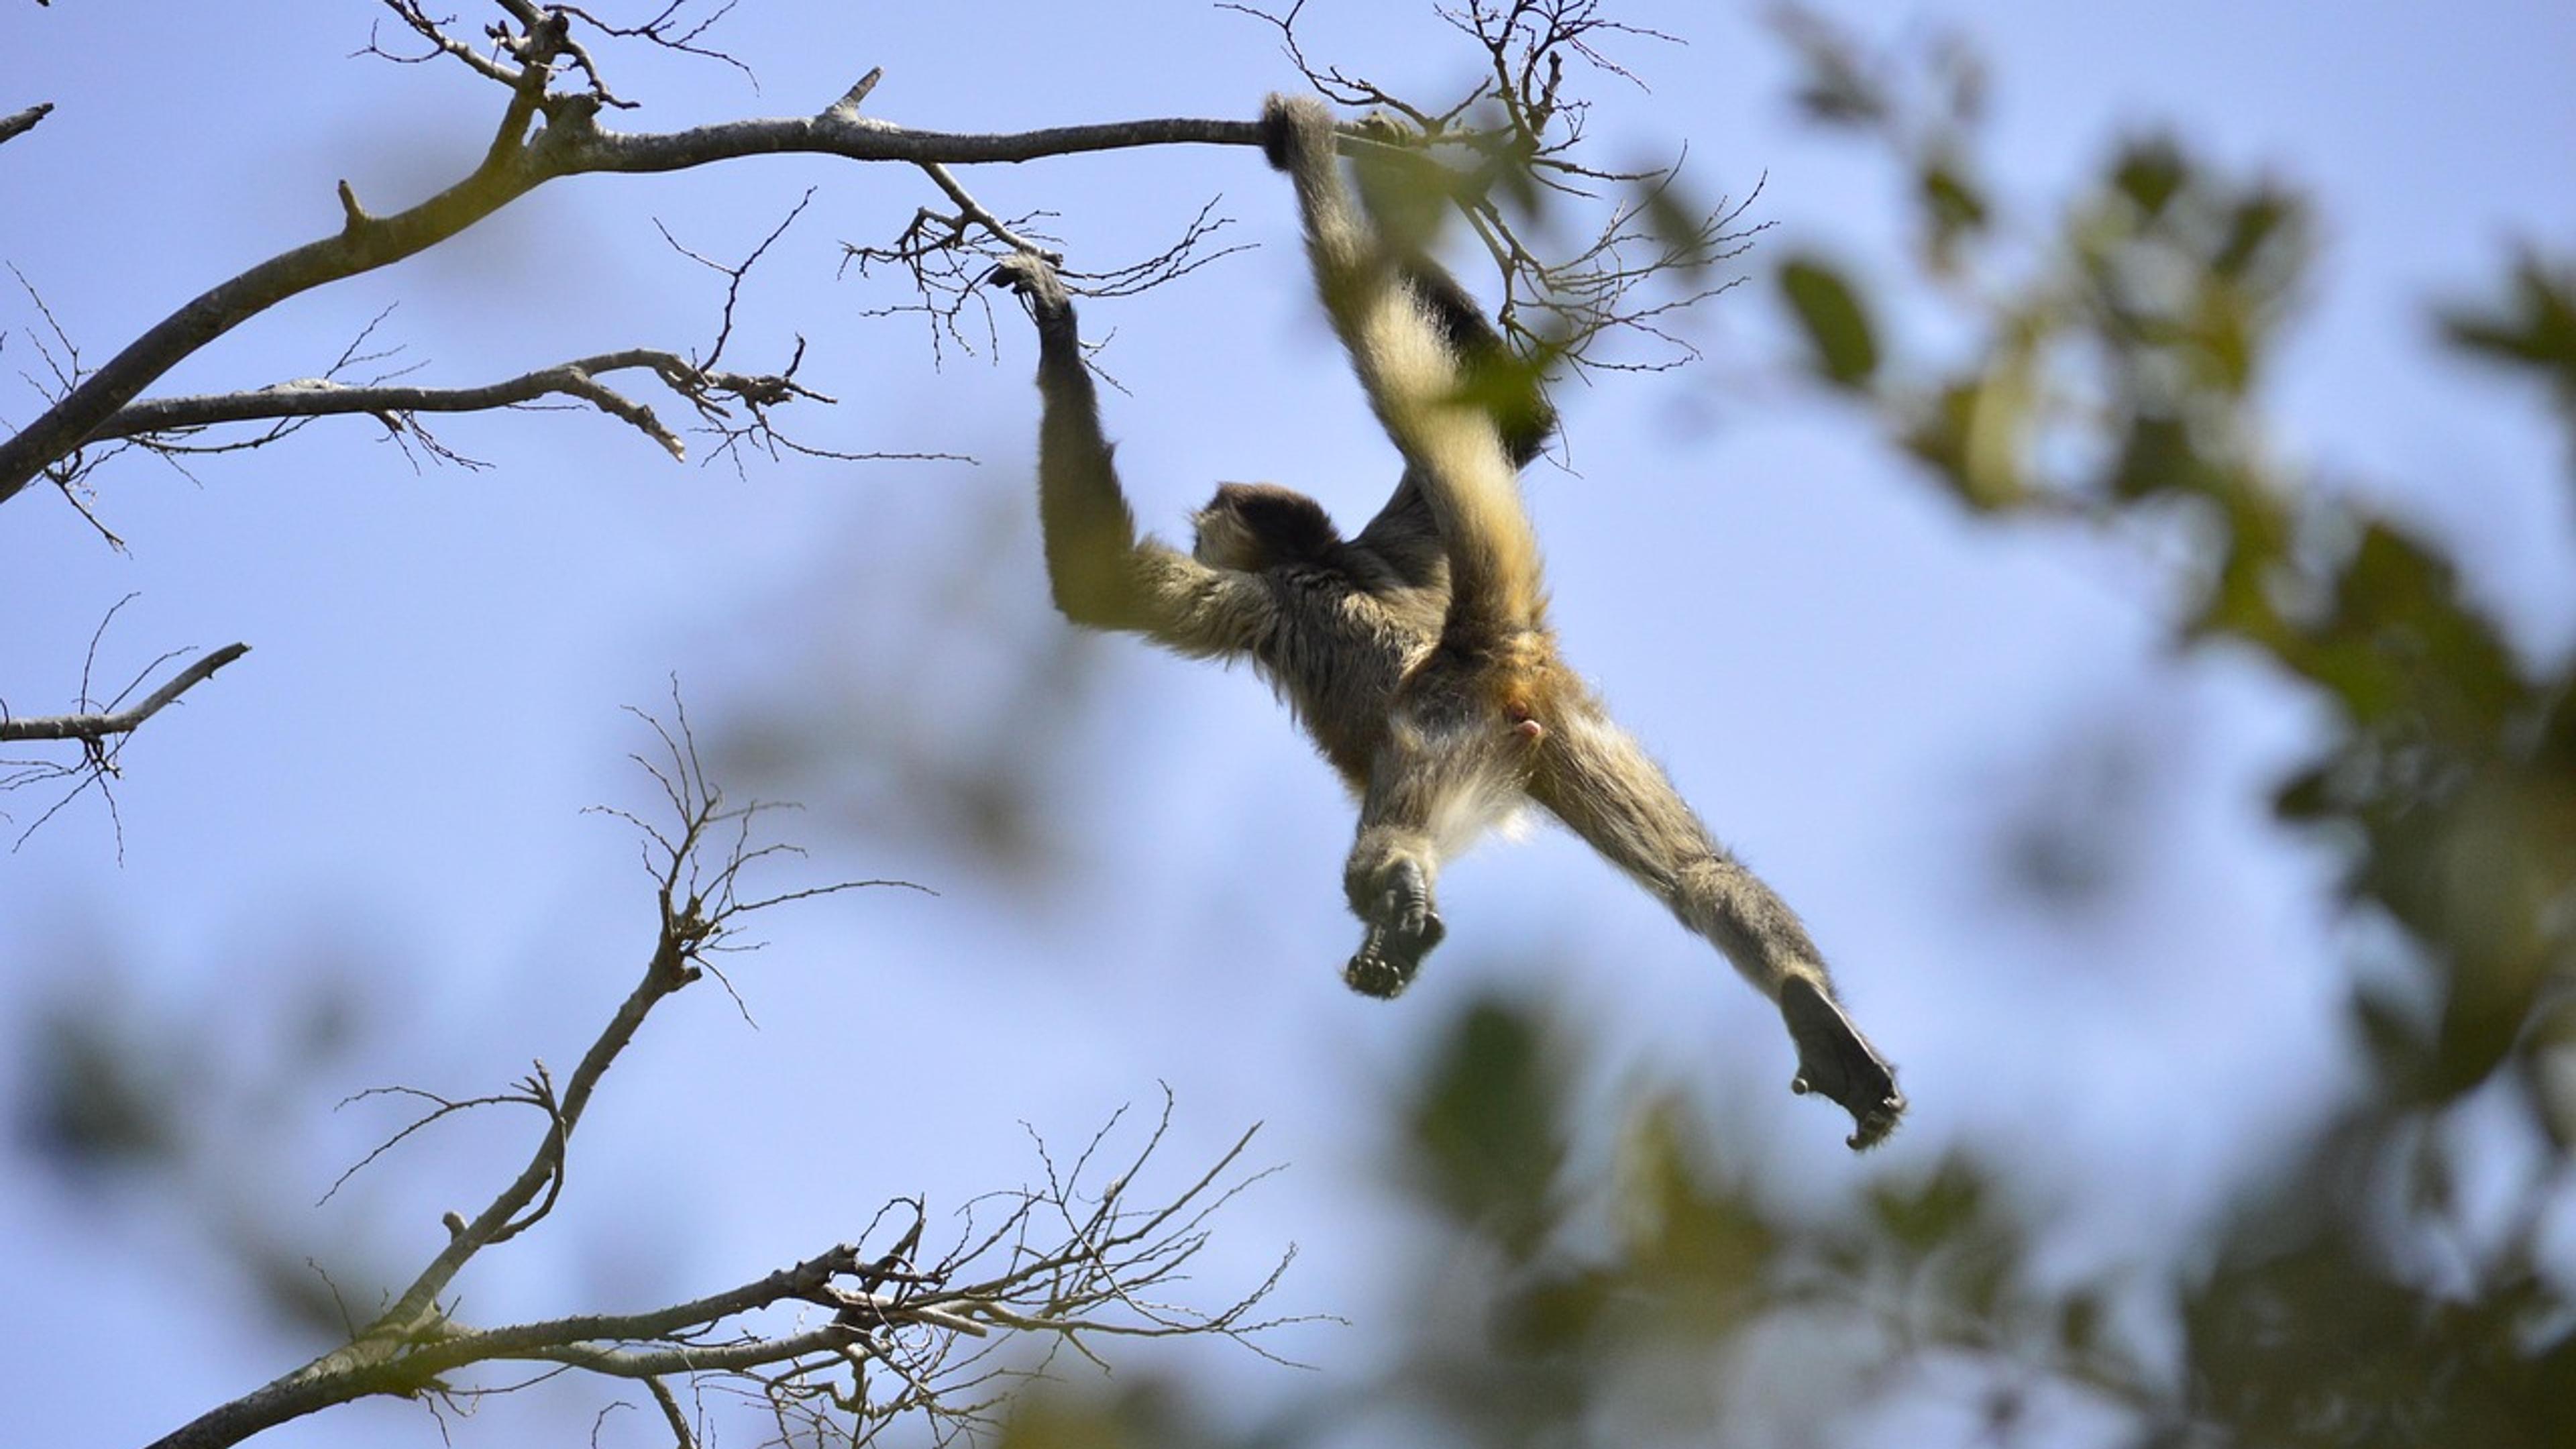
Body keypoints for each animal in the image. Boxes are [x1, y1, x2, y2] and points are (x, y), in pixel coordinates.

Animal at [988, 96, 1904, 1150]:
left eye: (1211, 527)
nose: (1201, 529)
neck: (1339, 561)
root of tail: (1476, 644)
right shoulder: (1400, 540)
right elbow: (1519, 422)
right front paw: (1389, 148)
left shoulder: (1265, 603)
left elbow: (1096, 586)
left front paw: (1058, 319)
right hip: (1566, 730)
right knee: (1697, 873)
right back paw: (1809, 1005)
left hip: (1440, 730)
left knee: (1384, 846)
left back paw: (1400, 906)